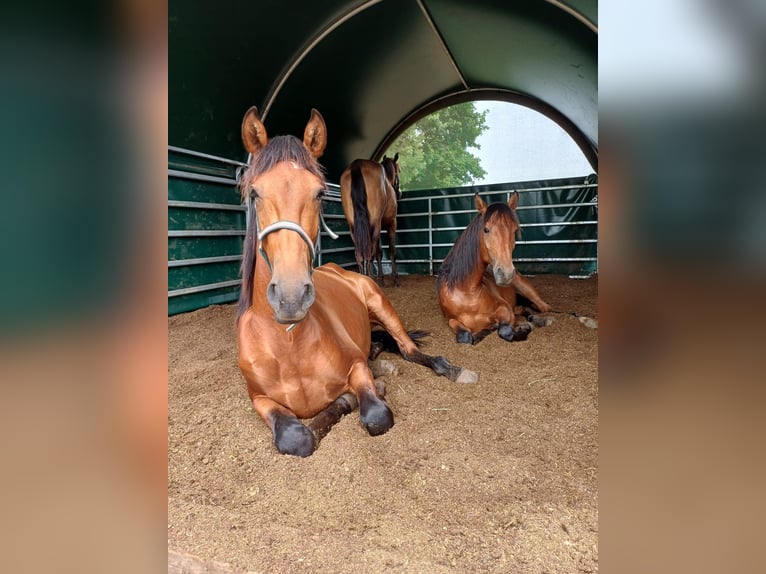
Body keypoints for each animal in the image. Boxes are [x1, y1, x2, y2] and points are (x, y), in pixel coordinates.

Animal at [237, 107, 476, 460]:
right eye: (254, 192)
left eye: (320, 192)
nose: (291, 298)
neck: (288, 343)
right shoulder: (259, 400)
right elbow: (296, 438)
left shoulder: (358, 369)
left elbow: (377, 416)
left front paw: (355, 397)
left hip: (381, 306)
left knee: (410, 350)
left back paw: (452, 369)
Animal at [438, 194, 552, 346]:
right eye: (486, 230)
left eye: (514, 230)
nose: (506, 274)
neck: (467, 293)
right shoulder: (451, 320)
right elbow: (465, 337)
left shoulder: (506, 310)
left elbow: (505, 331)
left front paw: (523, 328)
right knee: (523, 309)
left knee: (540, 308)